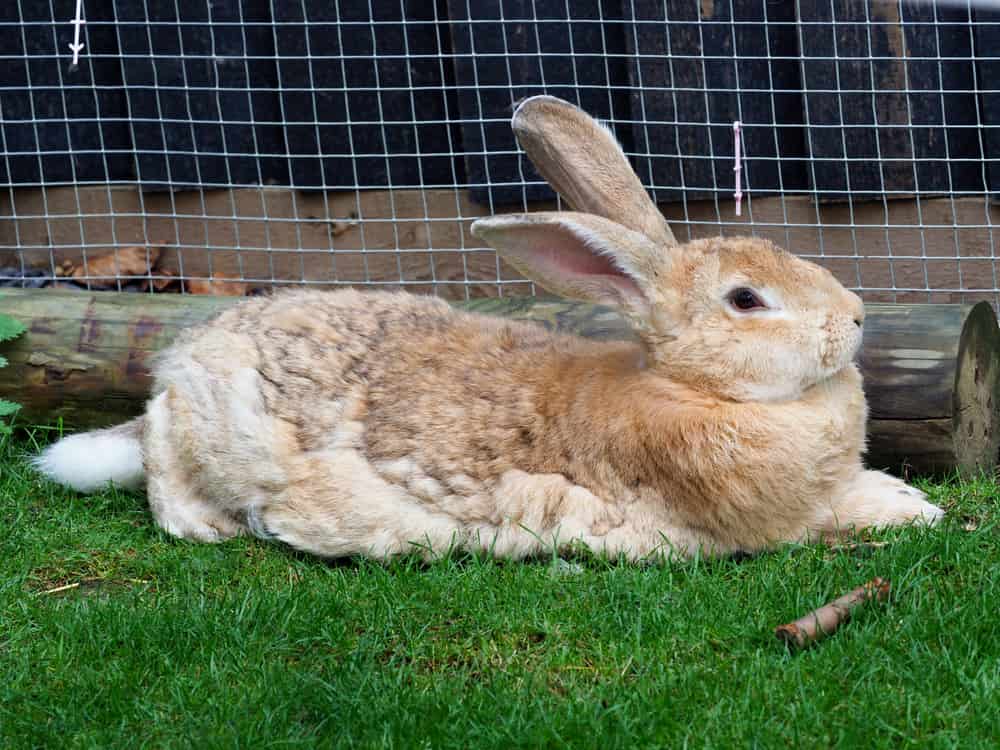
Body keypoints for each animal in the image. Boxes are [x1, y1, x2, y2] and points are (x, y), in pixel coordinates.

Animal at [31, 97, 940, 560]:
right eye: (747, 300)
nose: (856, 318)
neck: (690, 388)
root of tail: (190, 354)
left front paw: (904, 495)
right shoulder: (746, 525)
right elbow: (829, 518)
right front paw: (912, 510)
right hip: (206, 428)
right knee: (162, 464)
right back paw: (204, 523)